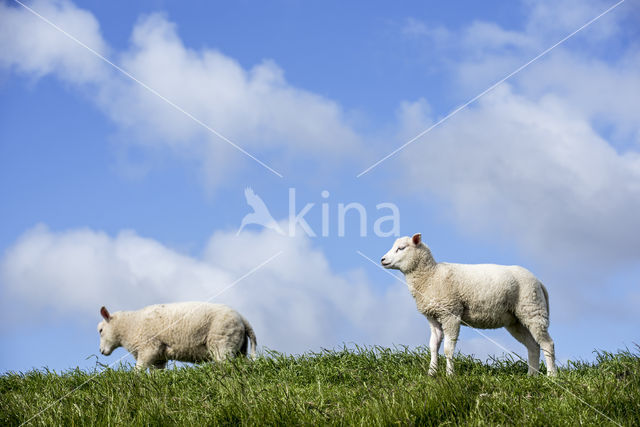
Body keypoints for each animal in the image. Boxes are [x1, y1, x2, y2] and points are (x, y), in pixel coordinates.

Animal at [96, 300, 256, 372]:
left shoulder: (149, 349)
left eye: (101, 330)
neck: (130, 325)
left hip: (222, 343)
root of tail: (242, 318)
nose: (101, 351)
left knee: (228, 366)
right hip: (239, 347)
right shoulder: (158, 358)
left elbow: (138, 371)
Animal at [382, 234, 556, 378]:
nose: (382, 260)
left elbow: (448, 348)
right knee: (533, 346)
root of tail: (538, 281)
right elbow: (433, 346)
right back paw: (531, 376)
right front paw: (431, 373)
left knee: (547, 343)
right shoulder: (433, 316)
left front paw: (450, 375)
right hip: (516, 320)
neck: (430, 275)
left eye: (401, 248)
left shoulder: (451, 313)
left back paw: (551, 375)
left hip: (532, 309)